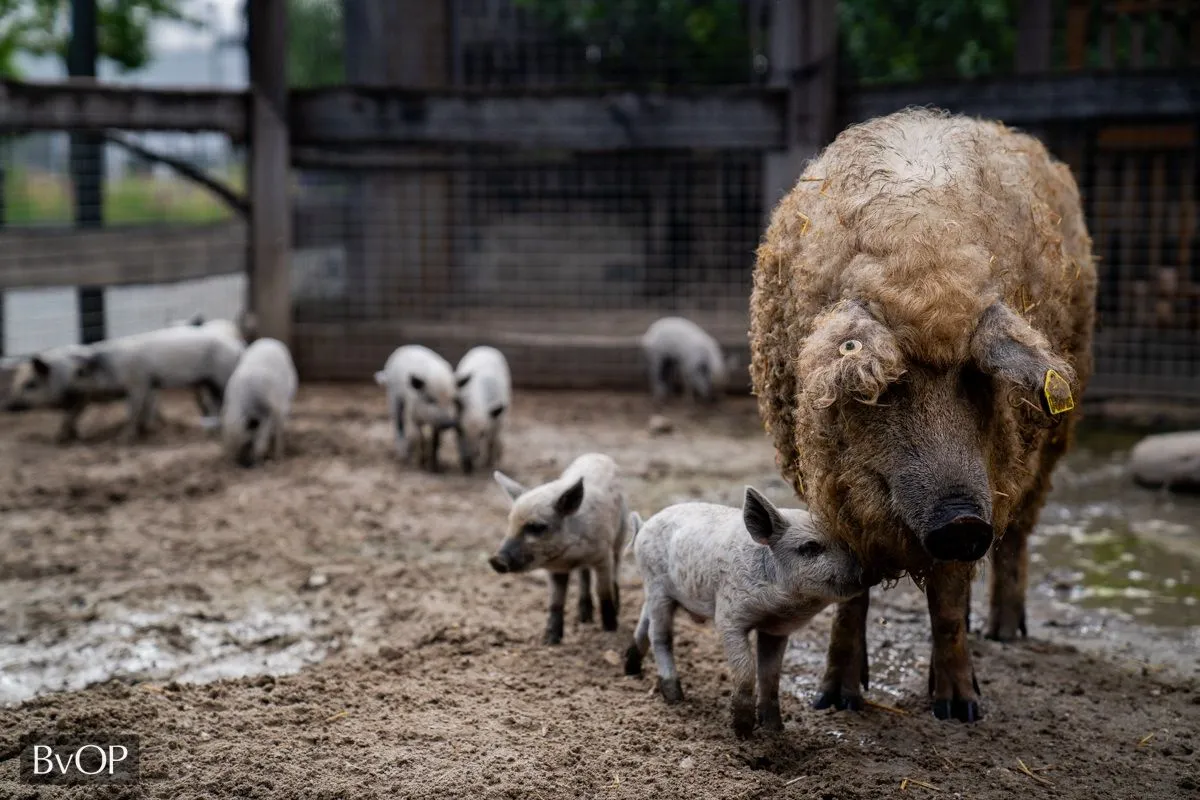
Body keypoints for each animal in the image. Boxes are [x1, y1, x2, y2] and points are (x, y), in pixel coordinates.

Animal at [225, 338, 300, 470]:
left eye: (247, 443)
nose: (243, 465)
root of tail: (271, 340)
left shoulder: (269, 413)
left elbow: (261, 442)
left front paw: (263, 461)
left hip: (286, 399)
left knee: (281, 424)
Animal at [451, 345, 506, 474]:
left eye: (482, 433)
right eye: (461, 430)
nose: (472, 455)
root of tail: (486, 347)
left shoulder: (496, 423)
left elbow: (491, 441)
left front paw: (488, 463)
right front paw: (466, 466)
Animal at [489, 453, 633, 647]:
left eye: (537, 527)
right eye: (510, 522)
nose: (496, 560)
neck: (570, 556)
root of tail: (596, 454)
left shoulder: (602, 556)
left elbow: (603, 592)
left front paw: (610, 632)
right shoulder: (556, 569)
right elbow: (555, 603)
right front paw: (549, 642)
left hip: (620, 535)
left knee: (615, 570)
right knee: (584, 575)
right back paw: (583, 619)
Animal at [628, 491, 864, 743]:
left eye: (847, 544)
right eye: (810, 546)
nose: (866, 573)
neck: (777, 608)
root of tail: (643, 525)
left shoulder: (777, 629)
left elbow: (770, 675)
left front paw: (775, 729)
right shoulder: (729, 618)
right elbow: (746, 670)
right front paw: (743, 734)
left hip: (654, 592)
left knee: (643, 622)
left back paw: (631, 670)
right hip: (657, 587)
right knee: (660, 636)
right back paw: (675, 697)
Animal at [748, 107, 1099, 724]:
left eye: (975, 377)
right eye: (890, 385)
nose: (961, 520)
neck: (919, 264)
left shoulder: (990, 479)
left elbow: (950, 597)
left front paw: (959, 710)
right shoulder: (831, 484)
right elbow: (851, 590)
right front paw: (834, 700)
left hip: (1046, 454)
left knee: (1014, 540)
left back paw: (1005, 633)